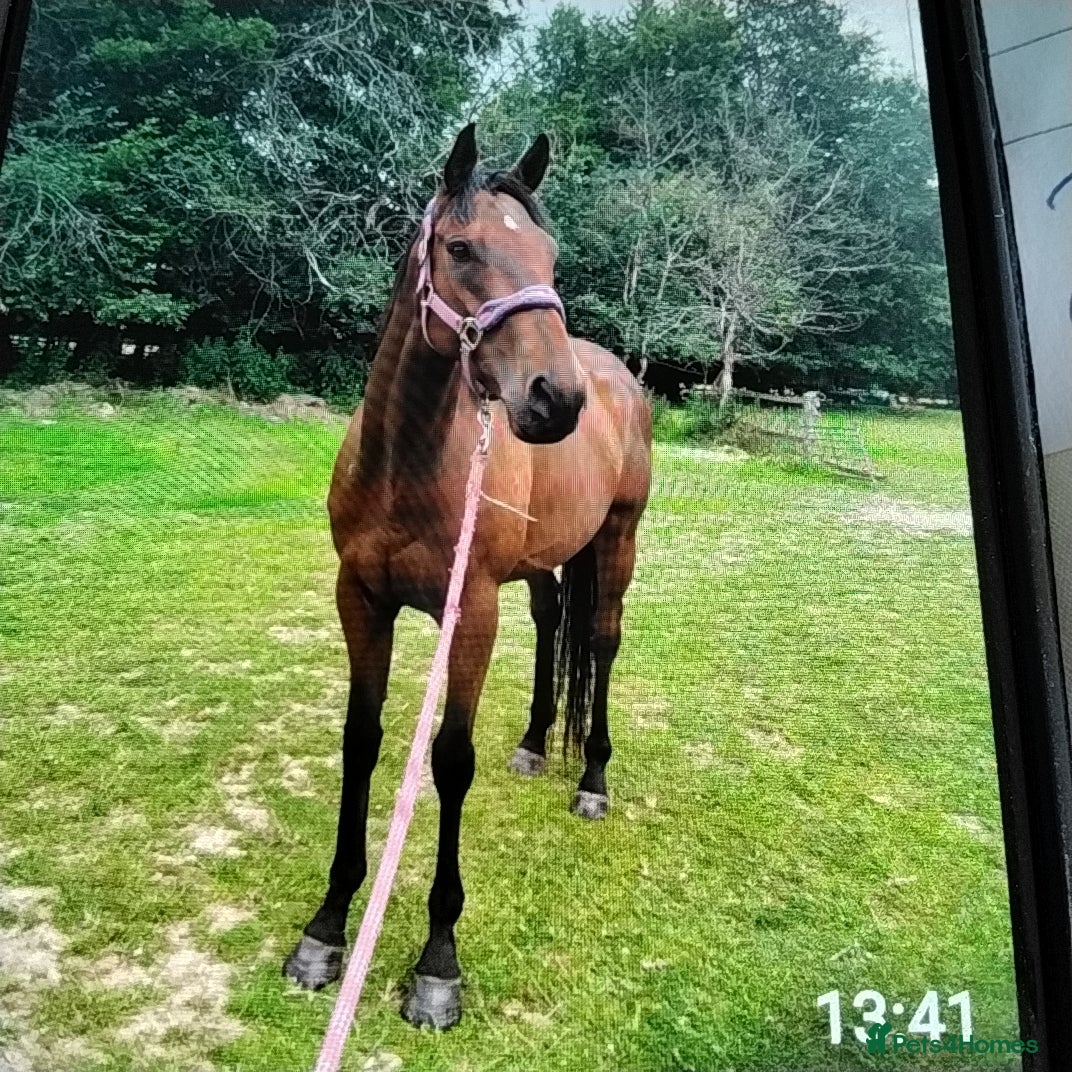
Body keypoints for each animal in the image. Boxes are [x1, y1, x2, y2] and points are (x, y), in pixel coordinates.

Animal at [284, 123, 652, 1030]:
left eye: (551, 257)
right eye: (460, 247)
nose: (556, 400)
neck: (405, 466)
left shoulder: (471, 613)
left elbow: (449, 760)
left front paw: (436, 964)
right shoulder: (360, 601)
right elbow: (361, 740)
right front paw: (327, 928)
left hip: (617, 541)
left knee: (602, 642)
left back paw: (592, 778)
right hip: (546, 563)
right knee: (554, 625)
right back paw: (534, 744)